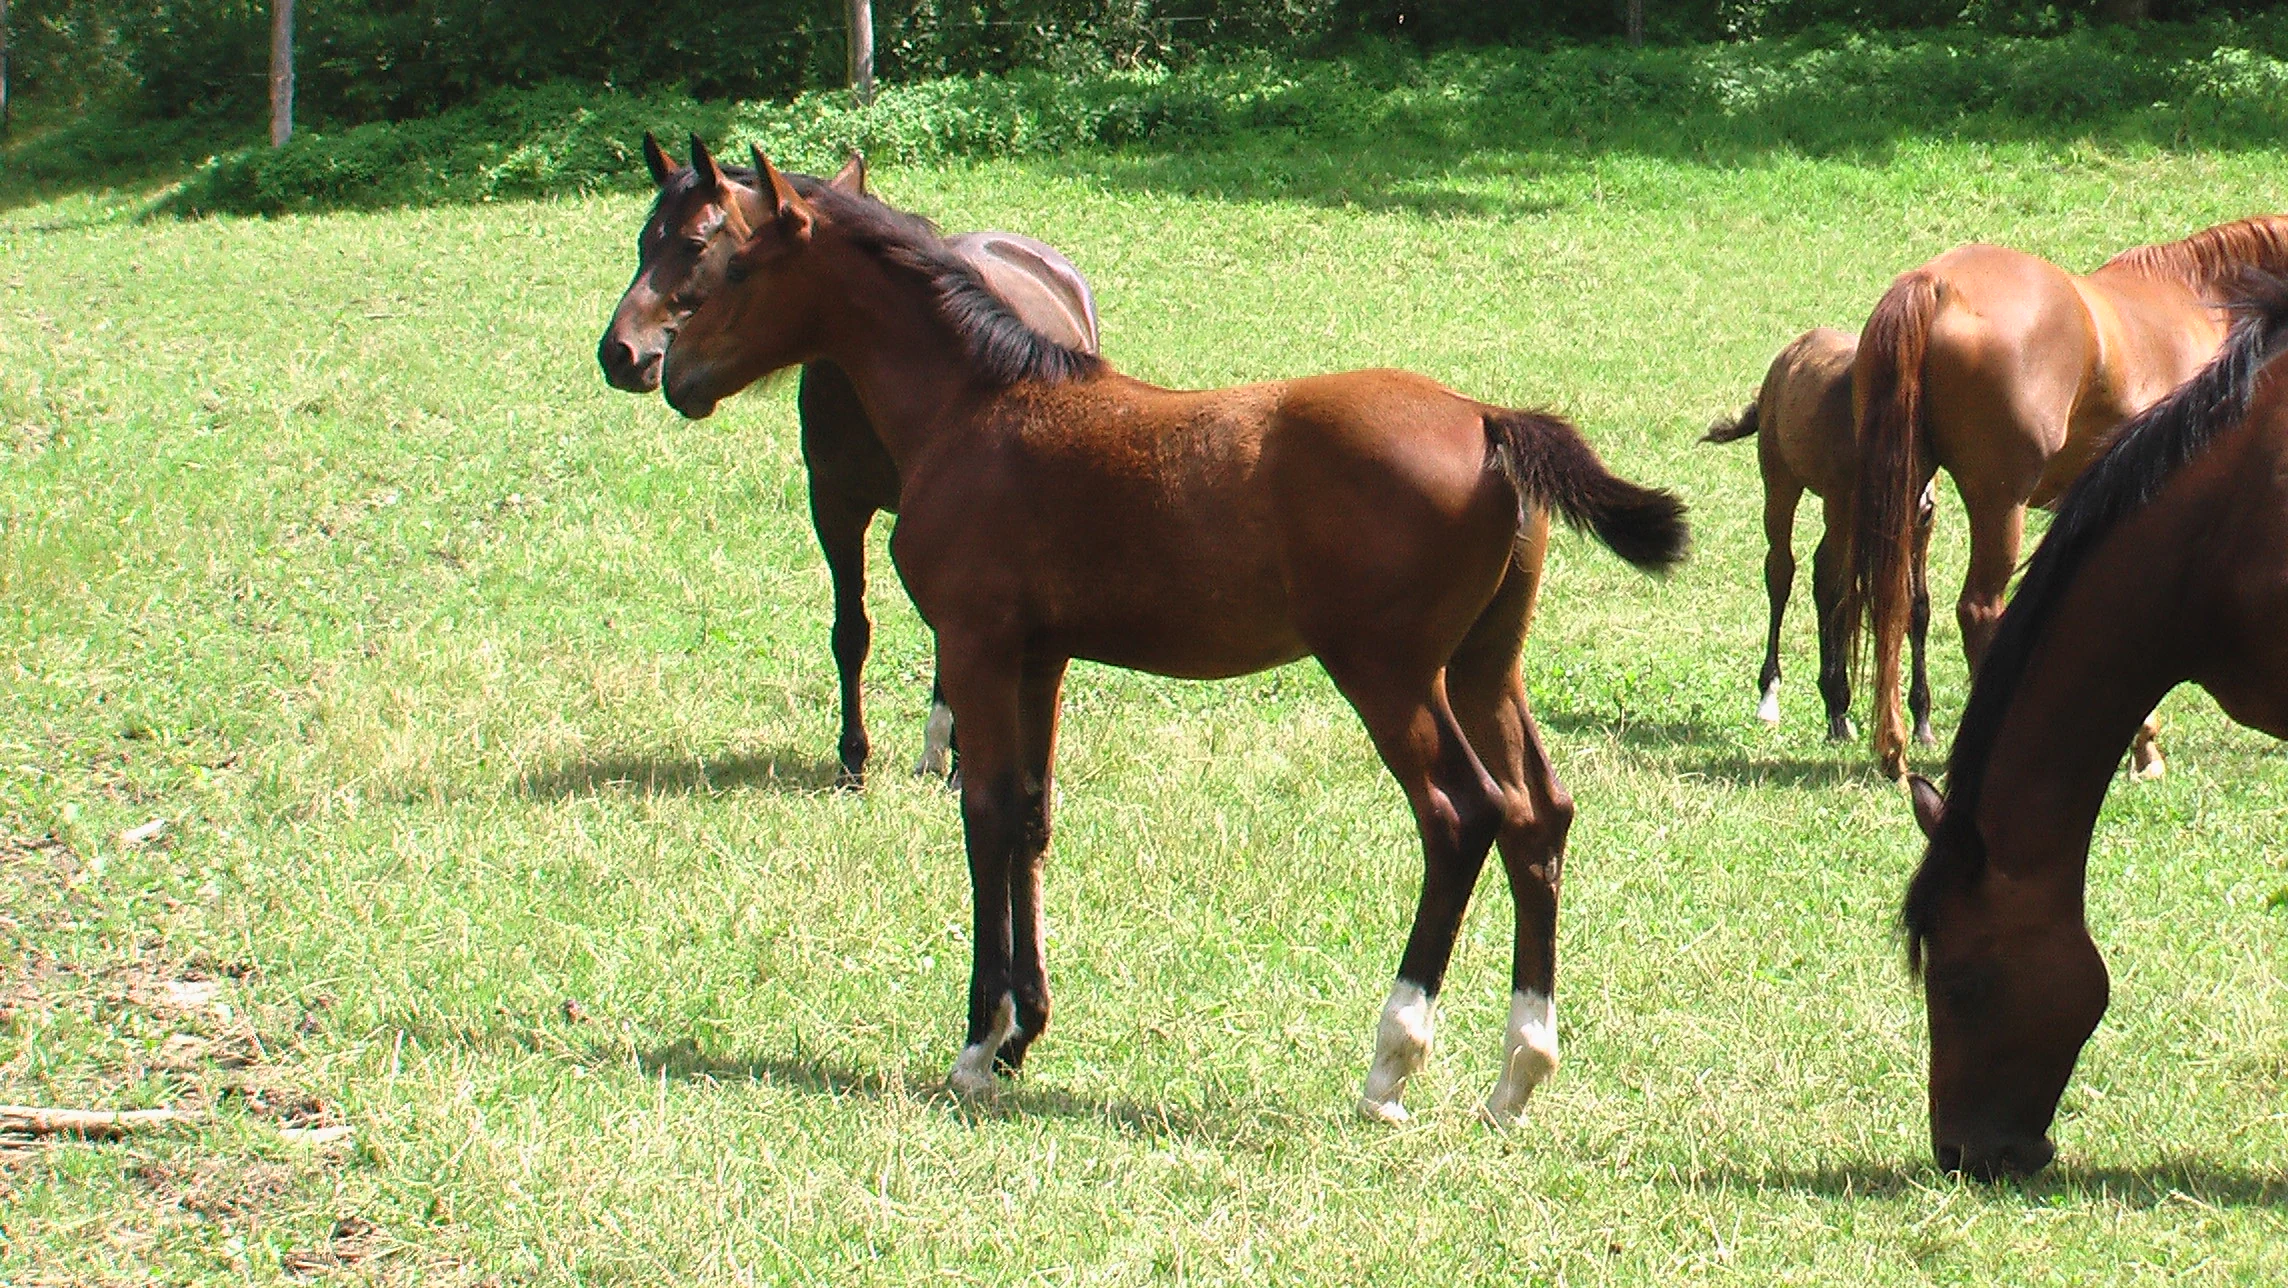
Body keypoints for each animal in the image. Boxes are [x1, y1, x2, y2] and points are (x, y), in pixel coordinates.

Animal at [597, 134, 1102, 786]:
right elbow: (850, 632)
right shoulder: (834, 505)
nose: (620, 354)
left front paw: (961, 760)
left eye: (695, 244)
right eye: (643, 242)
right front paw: (853, 758)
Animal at [657, 145, 1688, 1124]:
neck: (978, 407)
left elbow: (985, 816)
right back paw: (1519, 1075)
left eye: (728, 261)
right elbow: (1030, 815)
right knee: (1539, 817)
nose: (671, 374)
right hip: (1483, 667)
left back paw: (1391, 1062)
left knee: (1462, 815)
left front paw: (980, 1046)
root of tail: (1485, 421)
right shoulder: (1041, 656)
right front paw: (1026, 1032)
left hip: (1388, 673)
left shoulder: (976, 644)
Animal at [1704, 327, 1936, 744]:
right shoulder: (1844, 513)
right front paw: (1837, 709)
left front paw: (1922, 722)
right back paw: (1773, 696)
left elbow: (1916, 606)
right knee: (1784, 572)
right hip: (1783, 486)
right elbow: (1837, 594)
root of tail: (1792, 350)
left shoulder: (1920, 528)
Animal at [1844, 215, 2288, 780]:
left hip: (1908, 498)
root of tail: (1936, 284)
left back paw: (1894, 749)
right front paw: (2144, 746)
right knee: (1980, 610)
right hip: (1999, 506)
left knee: (1894, 605)